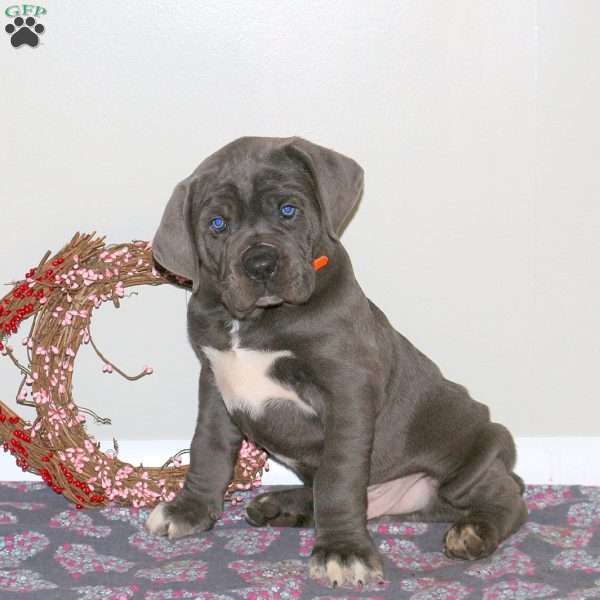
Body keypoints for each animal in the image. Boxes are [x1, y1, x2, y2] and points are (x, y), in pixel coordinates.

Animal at [146, 136, 528, 584]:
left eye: (288, 210)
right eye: (218, 224)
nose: (261, 264)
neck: (257, 320)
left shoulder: (346, 391)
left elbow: (338, 476)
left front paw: (343, 551)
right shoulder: (215, 384)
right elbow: (208, 449)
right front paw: (189, 510)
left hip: (473, 455)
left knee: (508, 496)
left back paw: (474, 532)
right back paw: (279, 505)